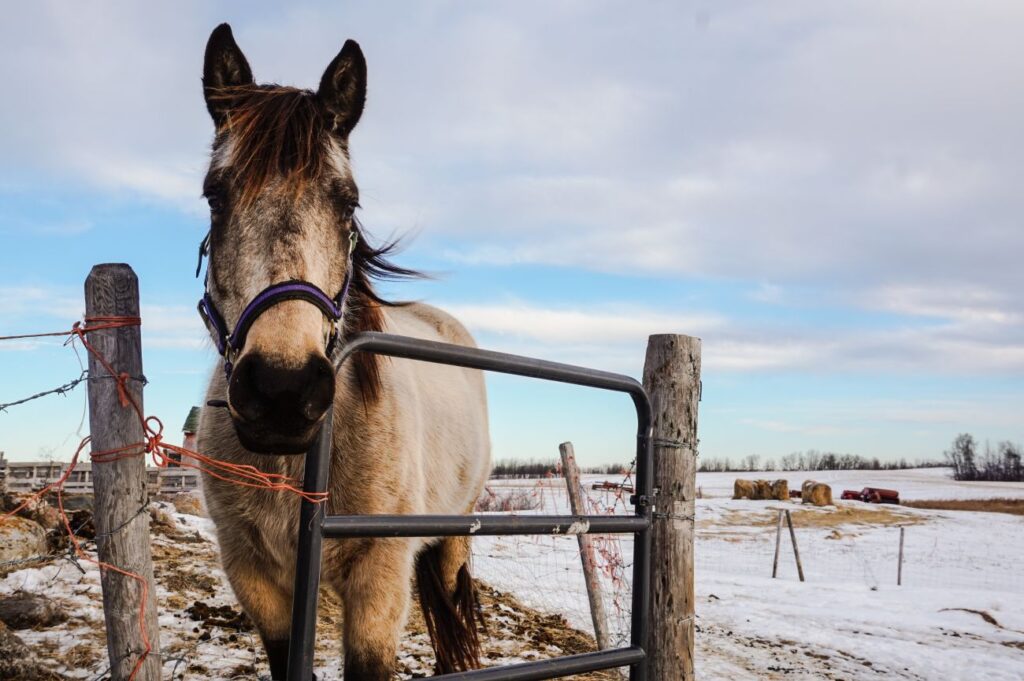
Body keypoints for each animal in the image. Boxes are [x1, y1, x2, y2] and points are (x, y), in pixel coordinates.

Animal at [196, 23, 495, 675]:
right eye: (214, 196)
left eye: (348, 202)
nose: (282, 390)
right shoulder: (256, 580)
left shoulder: (379, 584)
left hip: (453, 539)